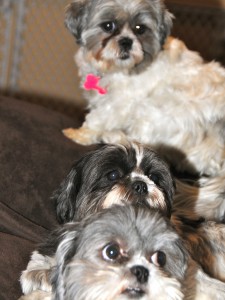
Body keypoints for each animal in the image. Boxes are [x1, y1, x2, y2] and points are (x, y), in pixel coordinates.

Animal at [62, 0, 225, 223]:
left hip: (159, 108)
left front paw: (80, 134)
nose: (126, 42)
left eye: (140, 29)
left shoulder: (121, 100)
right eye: (108, 26)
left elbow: (99, 117)